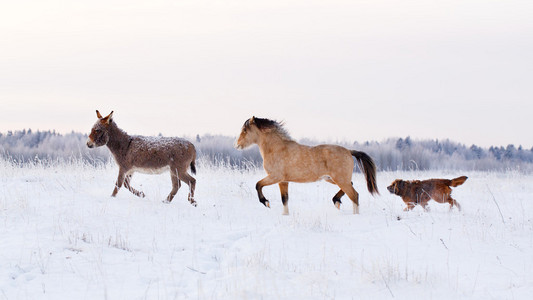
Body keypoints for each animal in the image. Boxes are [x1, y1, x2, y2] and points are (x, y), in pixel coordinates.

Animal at [234, 116, 378, 214]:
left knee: (354, 195)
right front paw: (285, 215)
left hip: (340, 179)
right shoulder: (283, 181)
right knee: (352, 189)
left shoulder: (275, 177)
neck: (277, 149)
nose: (237, 145)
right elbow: (285, 199)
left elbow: (258, 185)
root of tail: (349, 151)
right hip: (332, 179)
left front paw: (266, 202)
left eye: (245, 130)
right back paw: (336, 201)